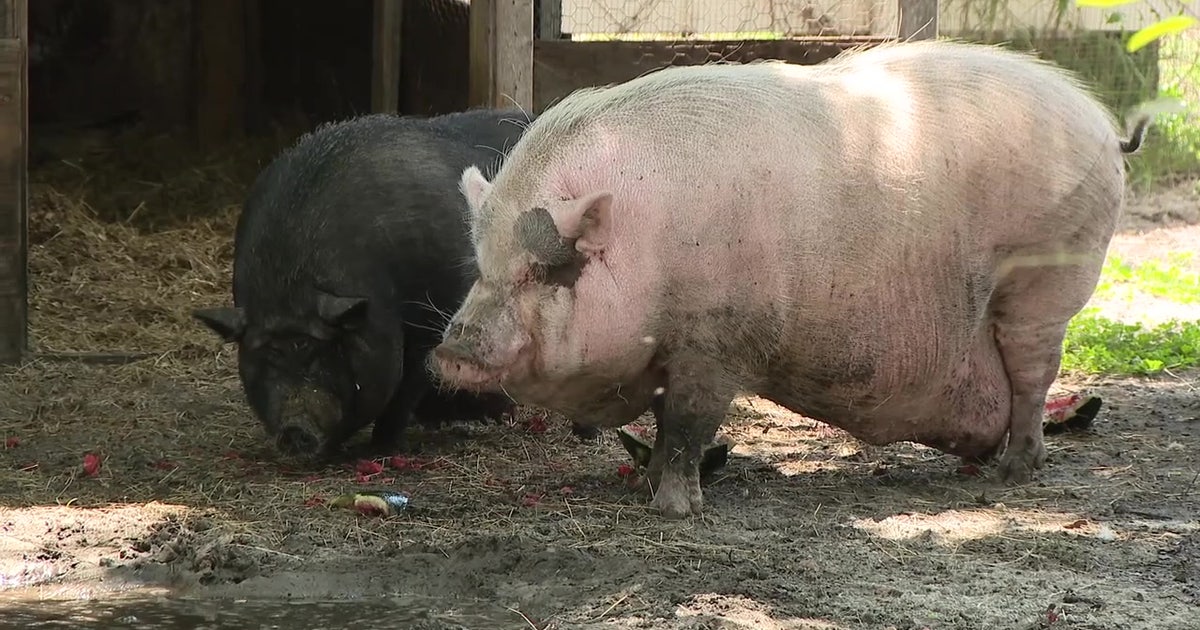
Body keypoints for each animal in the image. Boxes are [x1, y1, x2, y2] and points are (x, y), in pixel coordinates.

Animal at [193, 108, 532, 459]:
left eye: (324, 351)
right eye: (263, 357)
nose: (295, 428)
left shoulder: (431, 318)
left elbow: (406, 387)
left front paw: (383, 446)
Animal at [429, 40, 1151, 519]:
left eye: (545, 268)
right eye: (484, 265)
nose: (452, 350)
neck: (647, 240)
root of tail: (1103, 126)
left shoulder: (716, 341)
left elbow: (688, 424)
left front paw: (673, 509)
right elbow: (664, 425)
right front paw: (647, 487)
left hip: (1045, 285)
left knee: (1034, 380)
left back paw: (1012, 476)